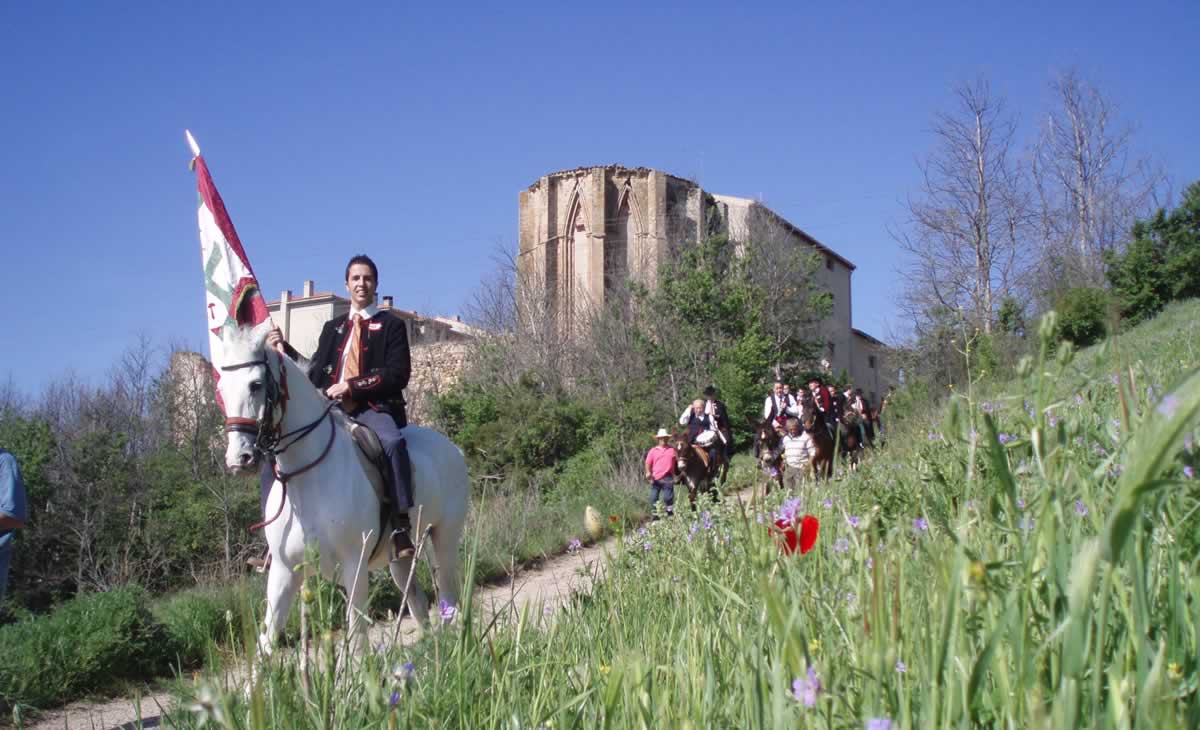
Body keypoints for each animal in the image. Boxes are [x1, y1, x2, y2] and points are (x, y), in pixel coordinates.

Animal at [216, 324, 468, 648]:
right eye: (222, 389)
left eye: (255, 384)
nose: (239, 459)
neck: (307, 481)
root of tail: (452, 448)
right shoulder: (284, 573)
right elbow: (266, 643)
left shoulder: (354, 566)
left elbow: (357, 639)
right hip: (399, 558)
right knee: (417, 599)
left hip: (444, 538)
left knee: (449, 595)